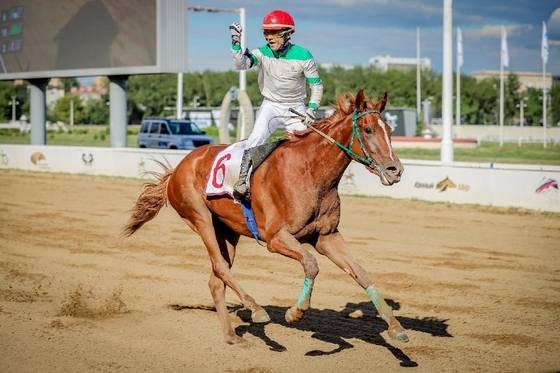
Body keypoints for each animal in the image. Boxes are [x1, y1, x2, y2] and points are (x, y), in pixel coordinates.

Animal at [124, 88, 410, 344]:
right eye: (368, 129)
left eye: (390, 130)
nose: (395, 170)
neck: (308, 171)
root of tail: (177, 169)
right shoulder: (275, 237)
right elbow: (311, 264)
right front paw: (295, 312)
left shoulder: (326, 237)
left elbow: (361, 273)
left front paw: (395, 327)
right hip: (199, 217)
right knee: (220, 267)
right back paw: (256, 309)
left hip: (227, 232)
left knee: (216, 279)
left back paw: (232, 337)